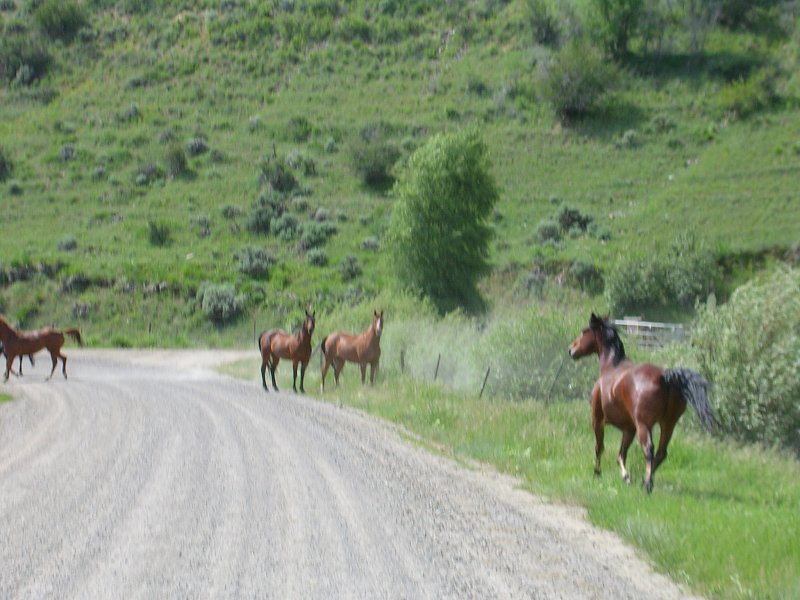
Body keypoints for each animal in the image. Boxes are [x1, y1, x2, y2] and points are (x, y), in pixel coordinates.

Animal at [564, 314, 716, 492]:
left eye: (584, 332)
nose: (571, 350)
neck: (611, 367)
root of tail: (663, 377)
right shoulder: (629, 428)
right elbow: (621, 454)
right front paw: (626, 476)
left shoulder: (598, 420)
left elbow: (599, 447)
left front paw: (598, 472)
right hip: (668, 424)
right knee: (661, 453)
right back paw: (646, 480)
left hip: (644, 425)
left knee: (649, 450)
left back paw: (648, 485)